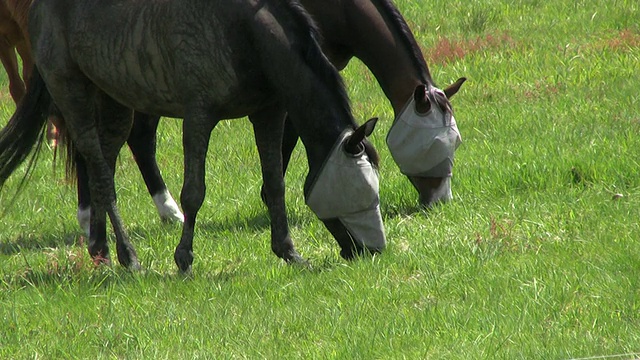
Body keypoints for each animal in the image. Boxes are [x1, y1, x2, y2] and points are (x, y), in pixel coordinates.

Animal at [0, 0, 384, 272]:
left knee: (101, 166)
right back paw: (129, 256)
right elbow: (194, 193)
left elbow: (275, 184)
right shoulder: (199, 116)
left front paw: (288, 252)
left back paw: (101, 250)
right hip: (73, 94)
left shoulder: (268, 114)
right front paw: (183, 259)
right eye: (359, 193)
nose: (374, 251)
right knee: (101, 174)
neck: (243, 31)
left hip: (114, 100)